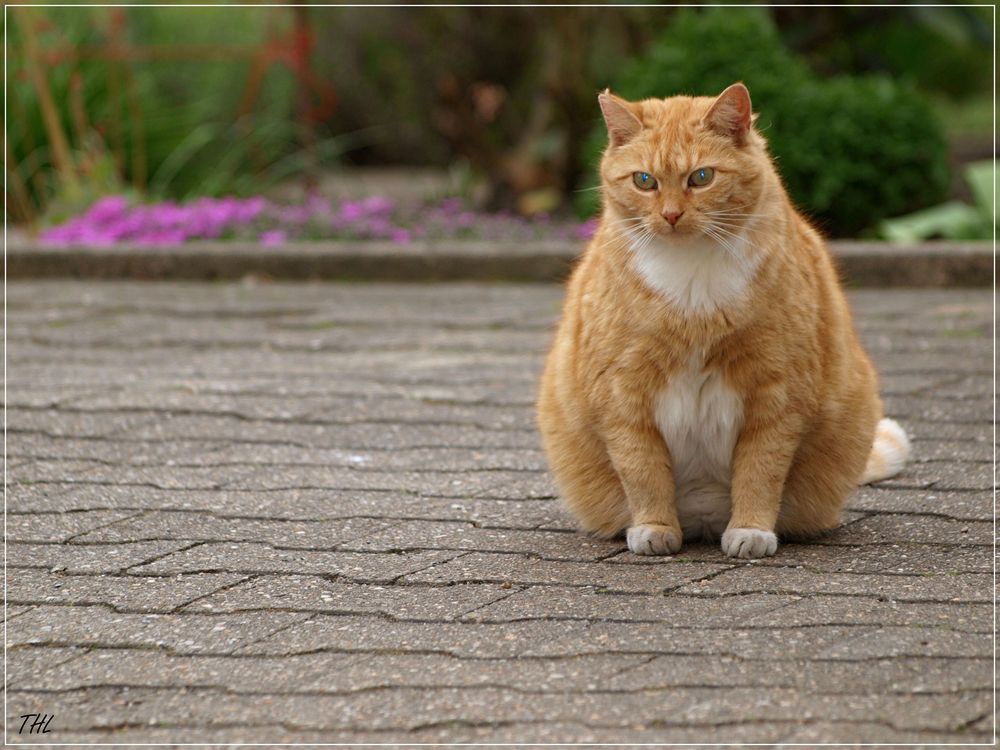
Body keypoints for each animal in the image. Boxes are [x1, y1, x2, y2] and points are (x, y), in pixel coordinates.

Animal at [536, 85, 912, 560]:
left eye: (701, 177)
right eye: (644, 181)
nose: (671, 215)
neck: (692, 276)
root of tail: (703, 521)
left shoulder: (777, 393)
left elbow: (760, 470)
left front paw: (751, 530)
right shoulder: (622, 393)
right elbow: (642, 470)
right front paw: (654, 527)